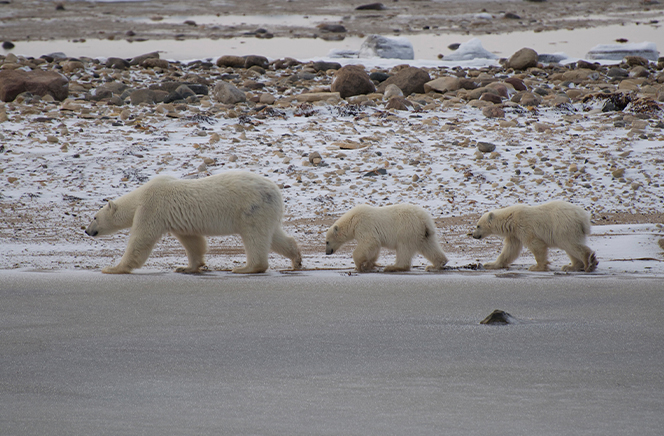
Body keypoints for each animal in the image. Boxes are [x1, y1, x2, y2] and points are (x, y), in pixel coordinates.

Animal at [84, 170, 302, 272]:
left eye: (94, 217)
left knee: (255, 237)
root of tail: (275, 190)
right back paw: (296, 259)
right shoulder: (176, 219)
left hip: (251, 209)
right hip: (265, 211)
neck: (139, 197)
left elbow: (141, 240)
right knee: (274, 236)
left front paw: (113, 268)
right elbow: (192, 241)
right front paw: (187, 267)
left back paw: (246, 267)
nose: (87, 231)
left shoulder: (152, 209)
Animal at [470, 199, 600, 270]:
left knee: (570, 244)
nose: (473, 235)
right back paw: (571, 266)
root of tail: (583, 217)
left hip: (563, 226)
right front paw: (490, 264)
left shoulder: (524, 226)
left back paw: (589, 262)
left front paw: (537, 267)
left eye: (478, 226)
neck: (511, 219)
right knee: (570, 247)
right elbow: (510, 250)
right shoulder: (514, 234)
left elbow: (535, 245)